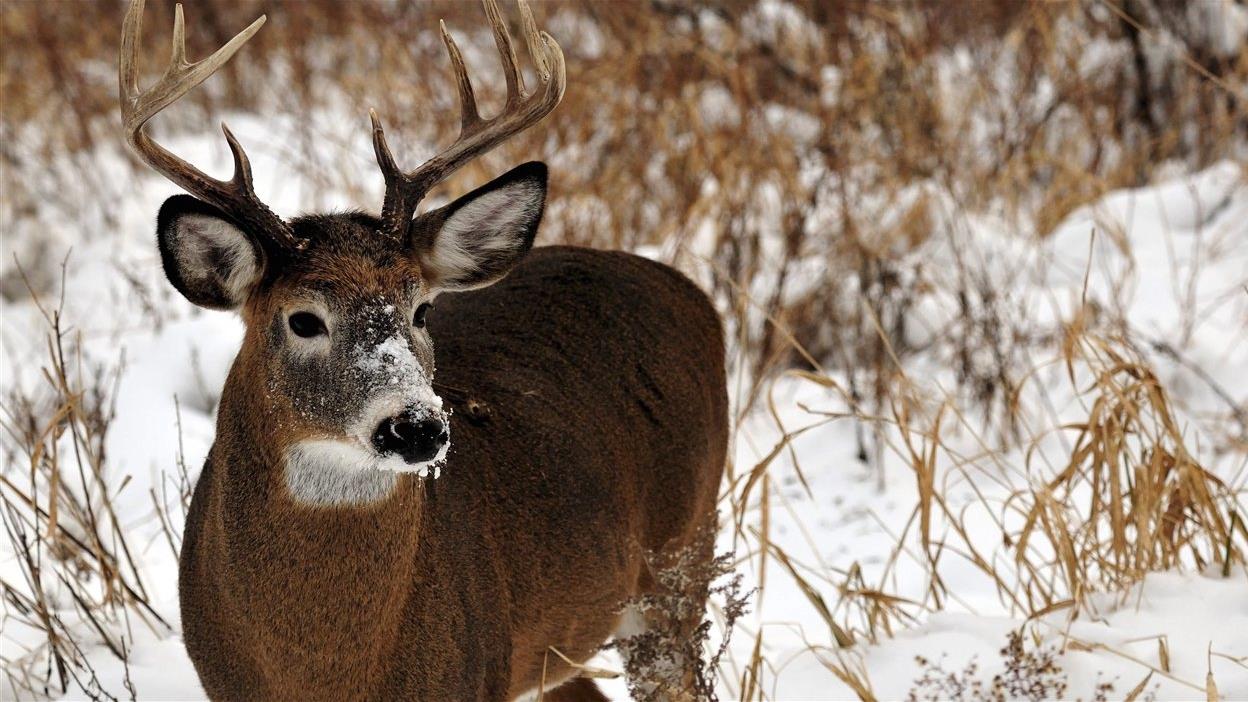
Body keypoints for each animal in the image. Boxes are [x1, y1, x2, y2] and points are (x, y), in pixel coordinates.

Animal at [117, 0, 728, 694]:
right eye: (303, 320)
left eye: (423, 308)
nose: (416, 427)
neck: (324, 673)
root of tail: (694, 295)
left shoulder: (476, 674)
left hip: (682, 561)